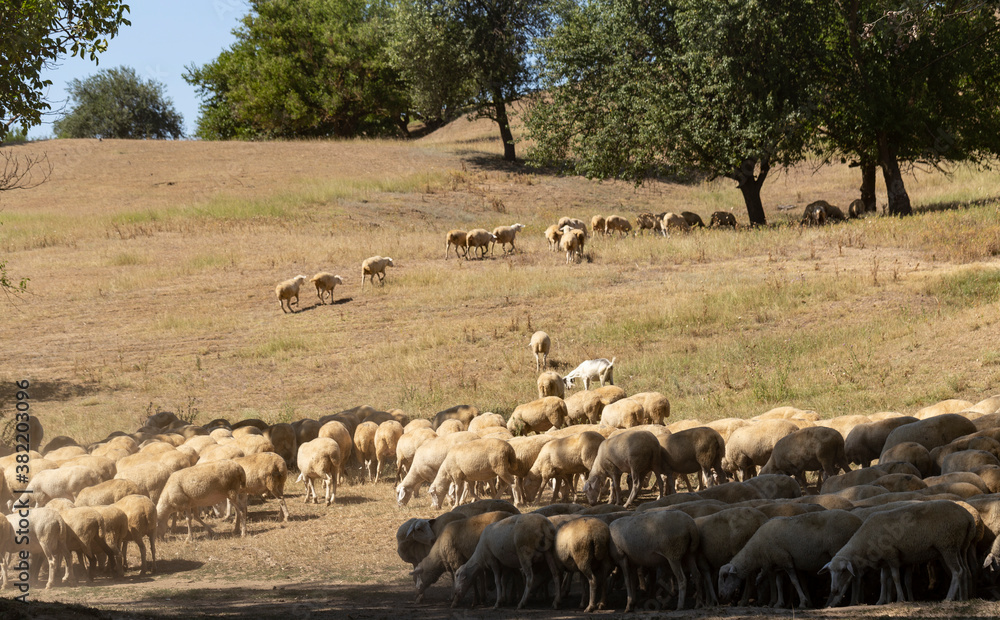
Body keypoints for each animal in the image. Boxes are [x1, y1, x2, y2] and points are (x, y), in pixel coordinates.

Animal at [719, 509, 863, 608]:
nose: (721, 596)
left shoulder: (785, 559)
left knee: (847, 578)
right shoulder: (778, 564)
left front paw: (802, 603)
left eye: (726, 577)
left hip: (838, 550)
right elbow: (779, 583)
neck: (756, 550)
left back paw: (833, 602)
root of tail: (859, 521)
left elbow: (794, 581)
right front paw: (779, 603)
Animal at [824, 500, 976, 605]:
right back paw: (963, 598)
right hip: (959, 547)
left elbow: (896, 577)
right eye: (830, 572)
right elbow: (883, 579)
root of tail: (967, 516)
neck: (865, 541)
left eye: (843, 571)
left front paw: (900, 599)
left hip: (947, 545)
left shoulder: (892, 555)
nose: (834, 591)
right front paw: (880, 601)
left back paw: (948, 598)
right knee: (964, 570)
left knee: (957, 571)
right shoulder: (884, 561)